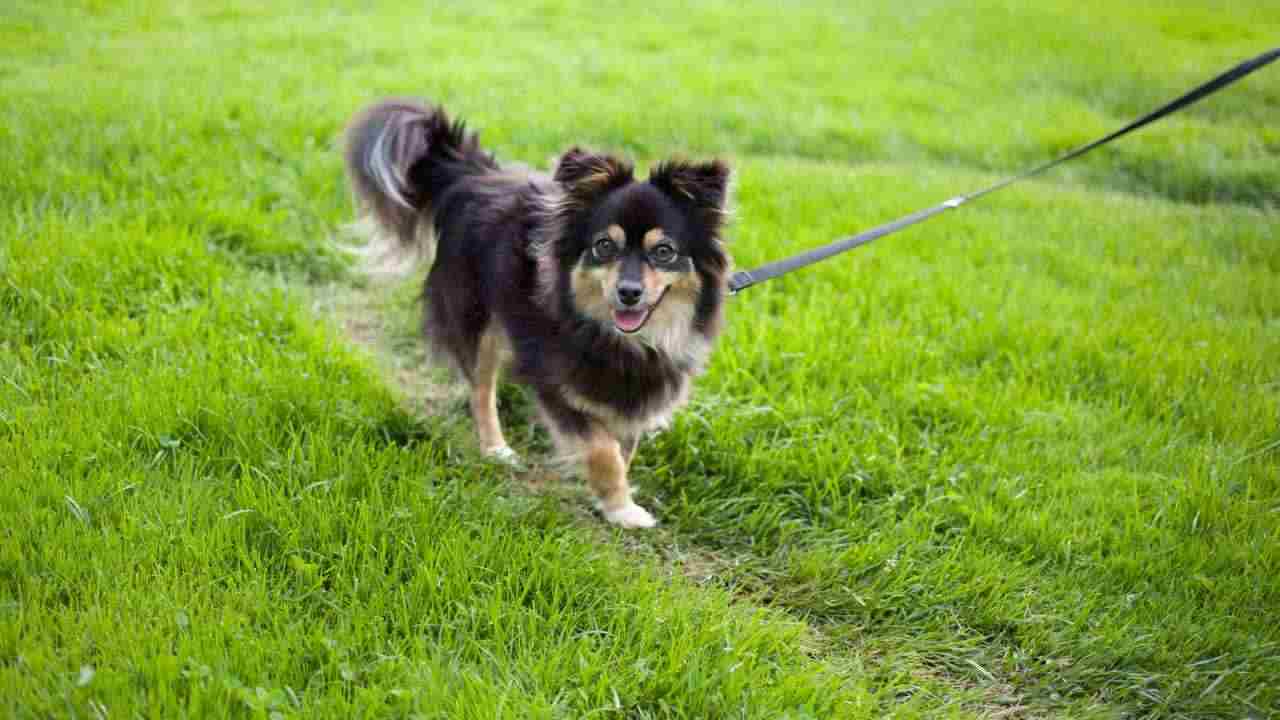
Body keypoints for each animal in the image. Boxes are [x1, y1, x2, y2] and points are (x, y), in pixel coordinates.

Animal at [345, 99, 737, 527]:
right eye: (604, 246)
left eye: (664, 252)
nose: (629, 293)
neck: (624, 340)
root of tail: (474, 177)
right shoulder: (553, 380)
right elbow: (602, 449)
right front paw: (621, 508)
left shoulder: (635, 393)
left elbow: (625, 447)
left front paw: (616, 497)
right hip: (479, 323)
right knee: (481, 391)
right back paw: (496, 449)